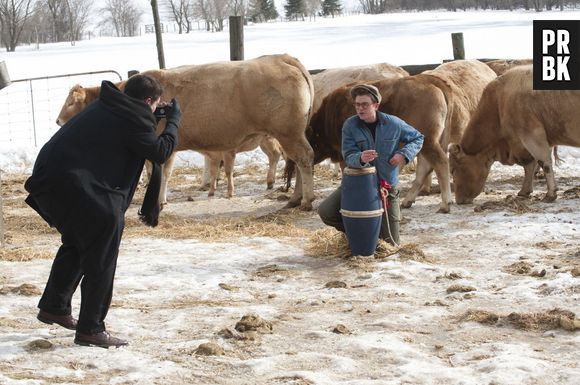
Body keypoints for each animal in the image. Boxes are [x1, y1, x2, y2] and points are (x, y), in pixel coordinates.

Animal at [57, 54, 312, 207]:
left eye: (70, 103)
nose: (58, 121)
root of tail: (281, 58)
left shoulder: (162, 146)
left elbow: (162, 174)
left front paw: (159, 202)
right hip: (293, 134)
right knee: (301, 160)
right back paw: (296, 198)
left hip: (288, 133)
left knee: (304, 158)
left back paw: (306, 199)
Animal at [288, 59, 496, 213]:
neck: (329, 115)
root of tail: (432, 81)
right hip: (425, 142)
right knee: (425, 167)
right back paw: (408, 200)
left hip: (428, 141)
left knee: (440, 163)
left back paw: (445, 203)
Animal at [446, 65, 576, 204]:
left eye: (452, 169)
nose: (458, 200)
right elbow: (529, 166)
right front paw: (525, 190)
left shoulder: (532, 134)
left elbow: (543, 162)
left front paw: (550, 194)